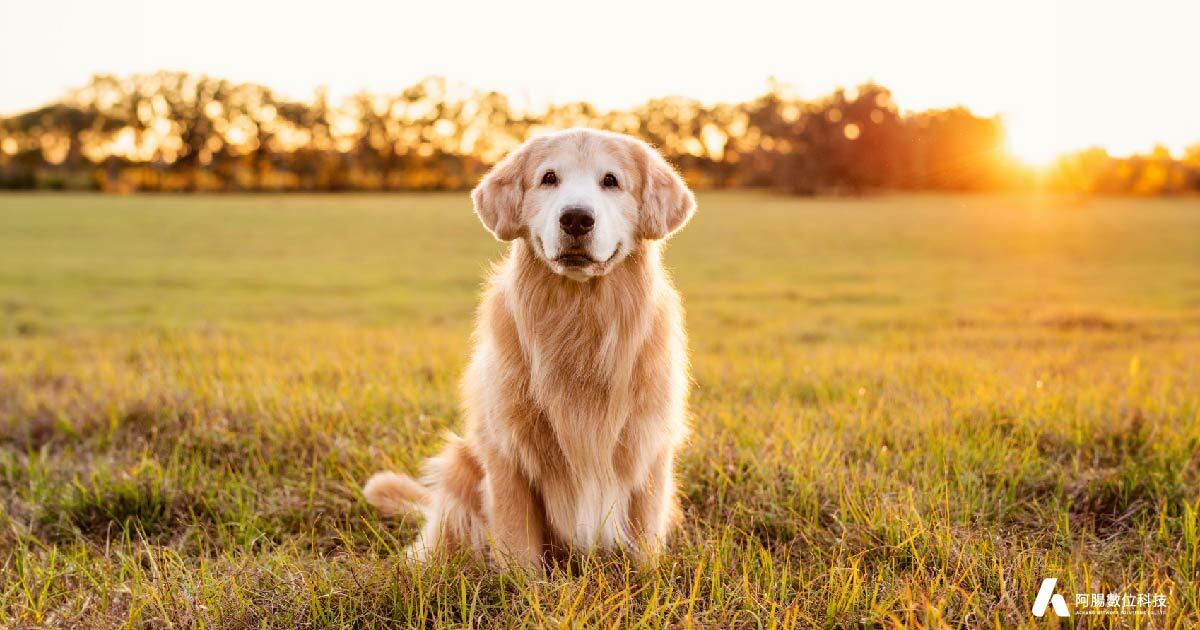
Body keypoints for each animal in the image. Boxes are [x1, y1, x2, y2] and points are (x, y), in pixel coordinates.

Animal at [360, 129, 696, 568]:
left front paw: (647, 578)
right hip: (459, 465)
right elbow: (517, 542)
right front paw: (520, 583)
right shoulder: (507, 450)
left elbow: (644, 537)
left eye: (611, 181)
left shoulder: (647, 447)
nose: (576, 218)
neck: (580, 316)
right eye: (549, 178)